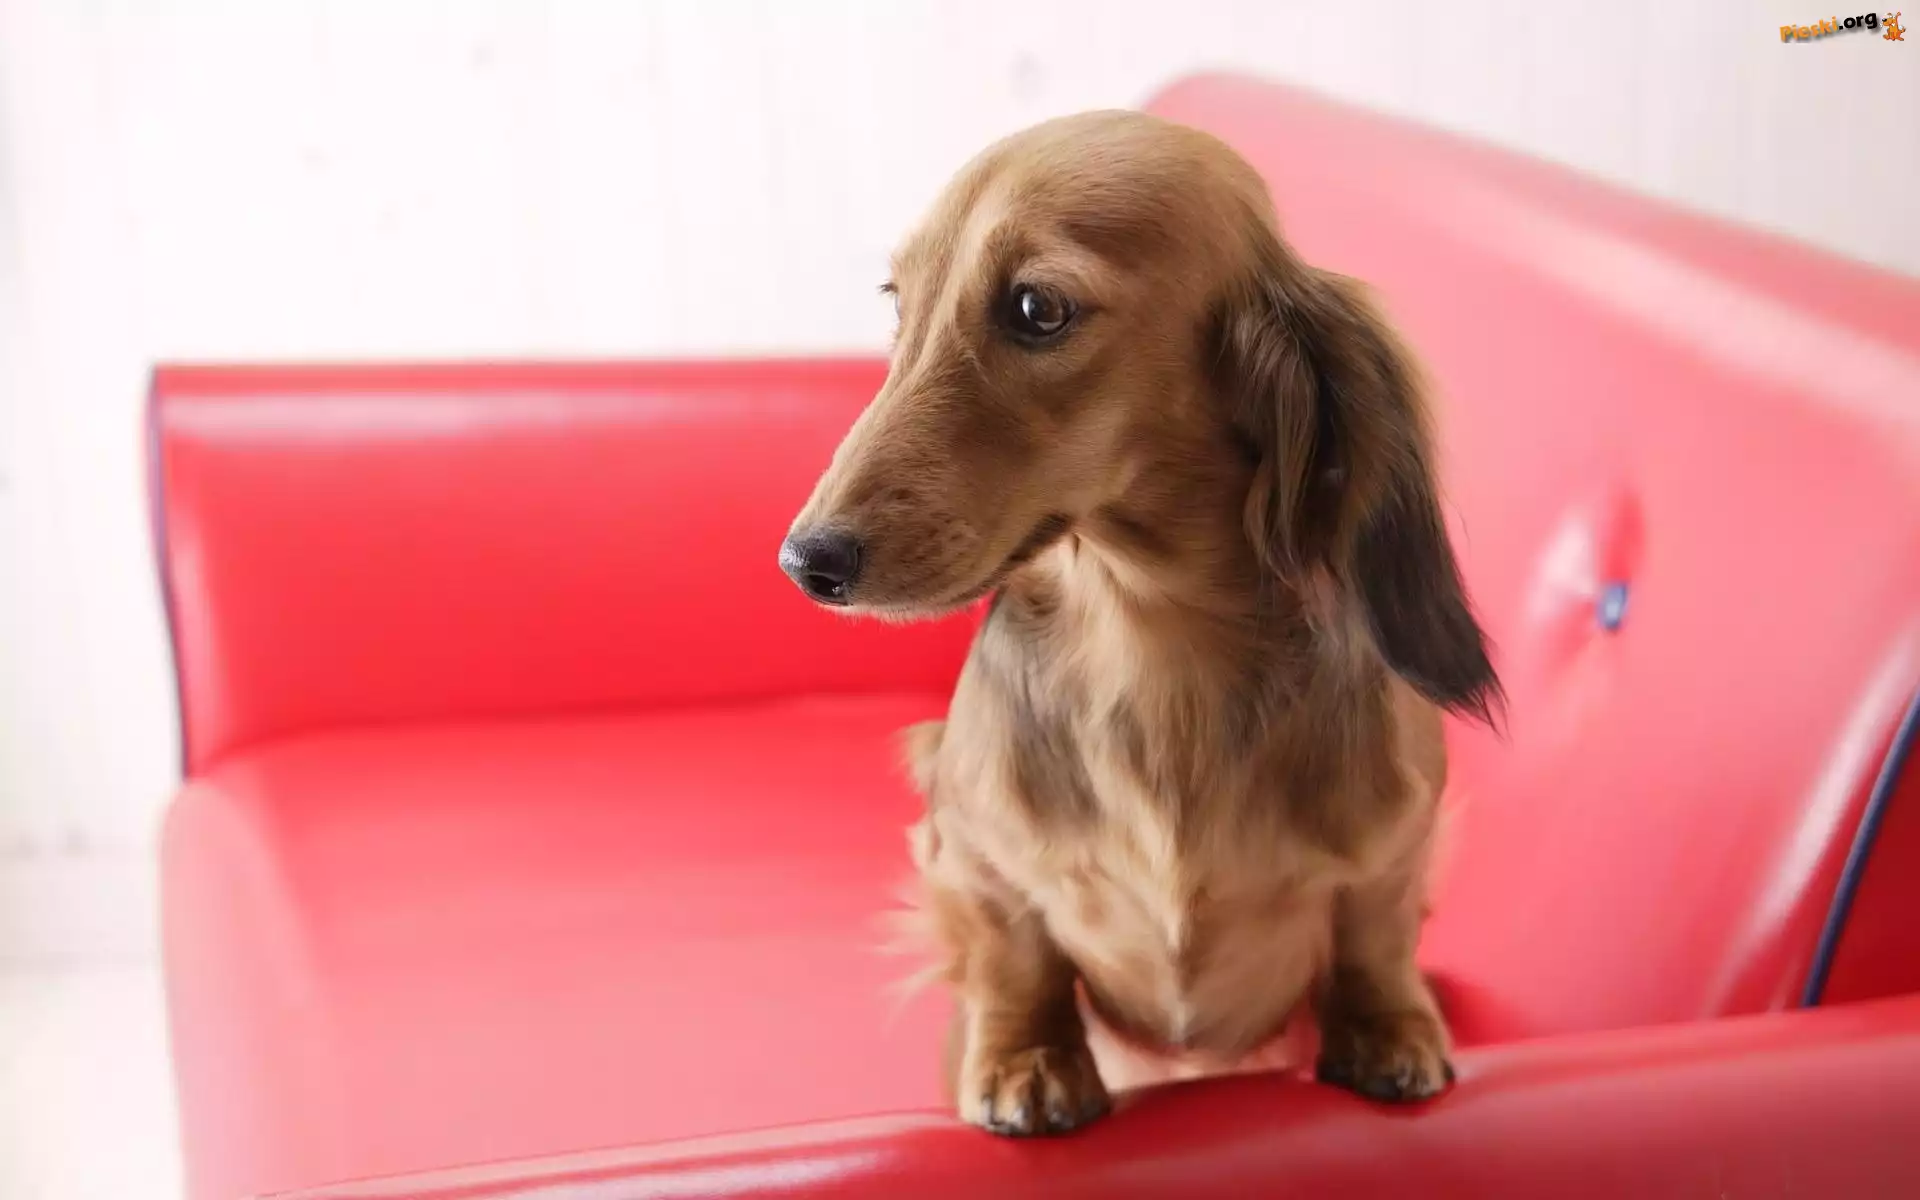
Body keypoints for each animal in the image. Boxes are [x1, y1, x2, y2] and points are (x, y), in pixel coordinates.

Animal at [780, 110, 1500, 1137]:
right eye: (898, 302)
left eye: (1037, 308)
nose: (808, 562)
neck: (1151, 646)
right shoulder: (971, 853)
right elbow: (1015, 959)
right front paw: (1030, 1059)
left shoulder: (1397, 846)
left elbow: (1376, 936)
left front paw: (1387, 1028)